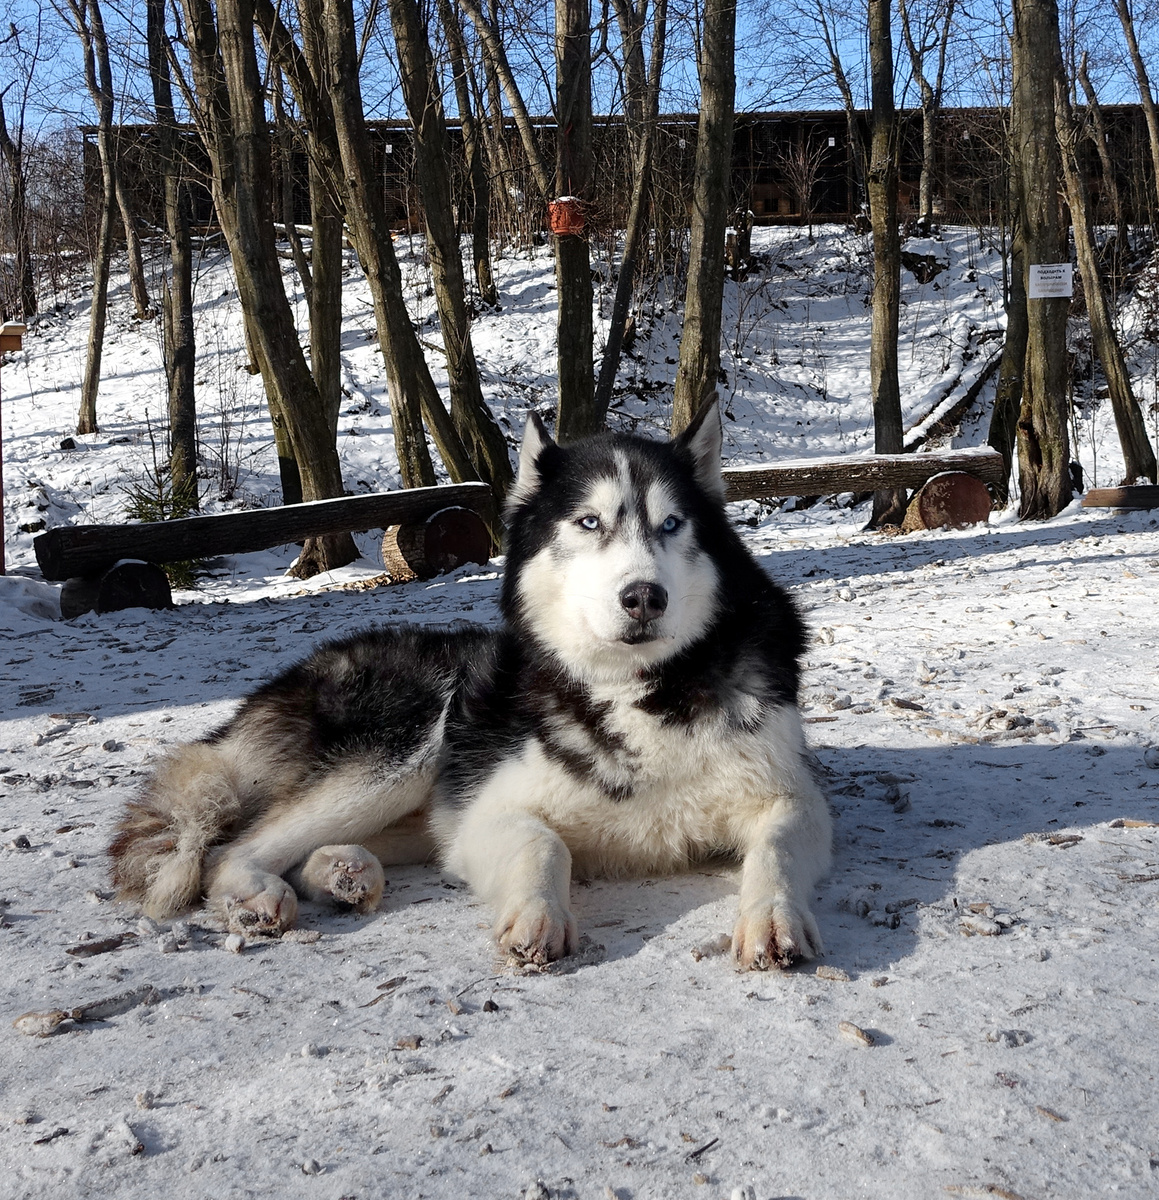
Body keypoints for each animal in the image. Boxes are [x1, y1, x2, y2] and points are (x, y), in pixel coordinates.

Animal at [110, 400, 831, 969]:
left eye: (672, 523)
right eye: (589, 522)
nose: (643, 597)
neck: (636, 690)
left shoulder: (790, 794)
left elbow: (775, 848)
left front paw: (772, 919)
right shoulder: (487, 809)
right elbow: (543, 845)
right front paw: (539, 914)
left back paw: (342, 872)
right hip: (407, 745)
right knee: (231, 849)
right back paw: (259, 891)